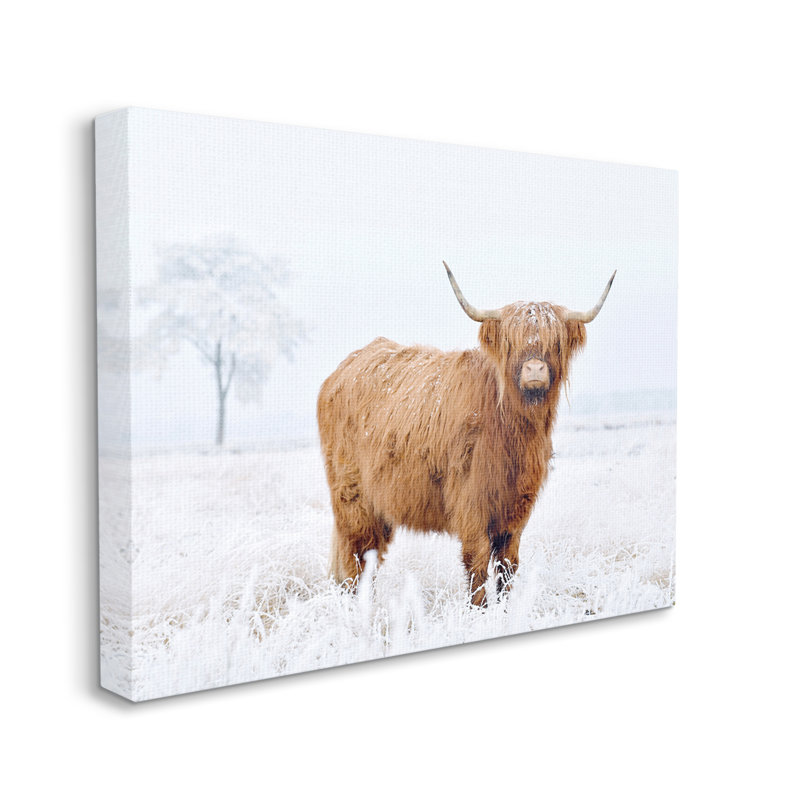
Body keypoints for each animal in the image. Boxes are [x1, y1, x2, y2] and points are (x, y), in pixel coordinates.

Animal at [317, 262, 615, 605]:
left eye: (555, 342)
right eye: (511, 341)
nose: (535, 370)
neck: (512, 430)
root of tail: (342, 370)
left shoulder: (516, 509)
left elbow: (507, 565)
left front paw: (506, 608)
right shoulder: (471, 502)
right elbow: (477, 564)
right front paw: (479, 609)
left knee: (367, 556)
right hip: (352, 498)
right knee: (355, 556)